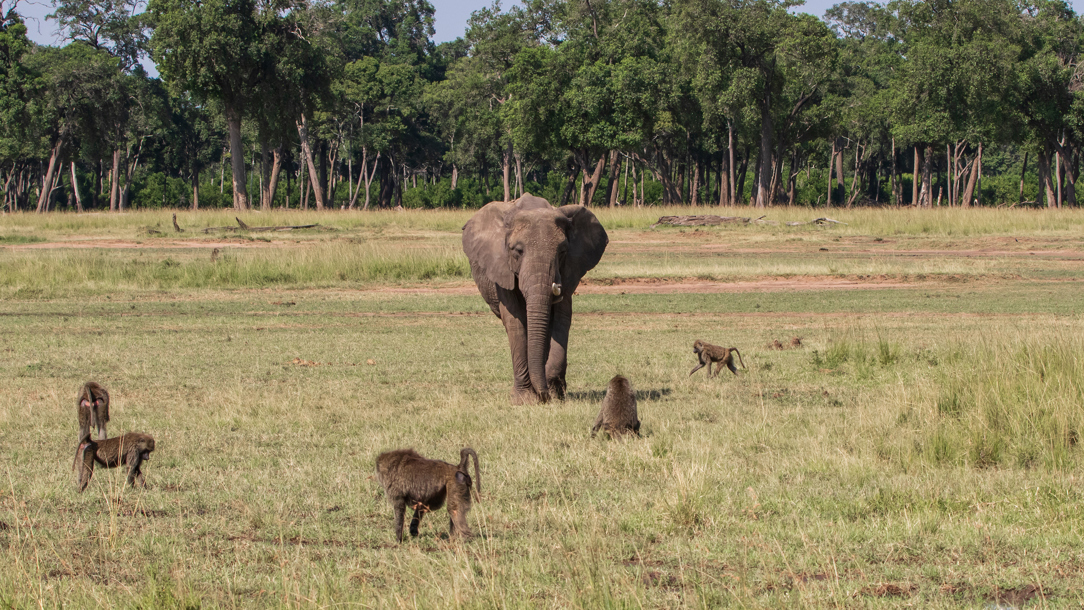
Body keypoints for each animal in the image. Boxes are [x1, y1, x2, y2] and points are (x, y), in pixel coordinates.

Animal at [462, 194, 608, 404]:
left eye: (562, 252)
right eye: (517, 251)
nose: (543, 396)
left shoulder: (569, 269)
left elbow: (562, 318)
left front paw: (553, 393)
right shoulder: (501, 267)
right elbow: (515, 321)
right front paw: (524, 399)